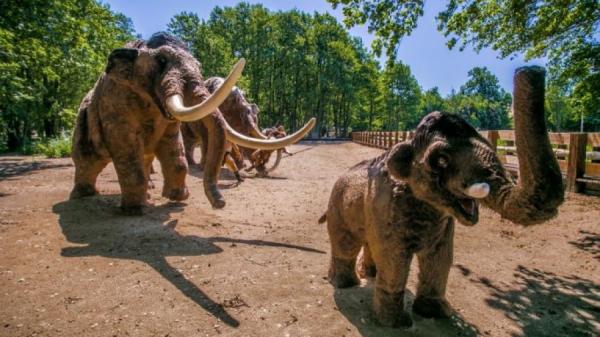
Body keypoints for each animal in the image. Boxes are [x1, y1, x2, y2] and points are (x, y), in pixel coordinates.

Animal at [322, 67, 564, 326]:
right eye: (441, 160)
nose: (532, 70)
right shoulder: (385, 208)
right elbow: (394, 258)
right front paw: (395, 323)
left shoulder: (442, 223)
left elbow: (441, 257)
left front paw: (436, 312)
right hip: (338, 209)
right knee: (346, 244)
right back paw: (346, 283)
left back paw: (369, 274)